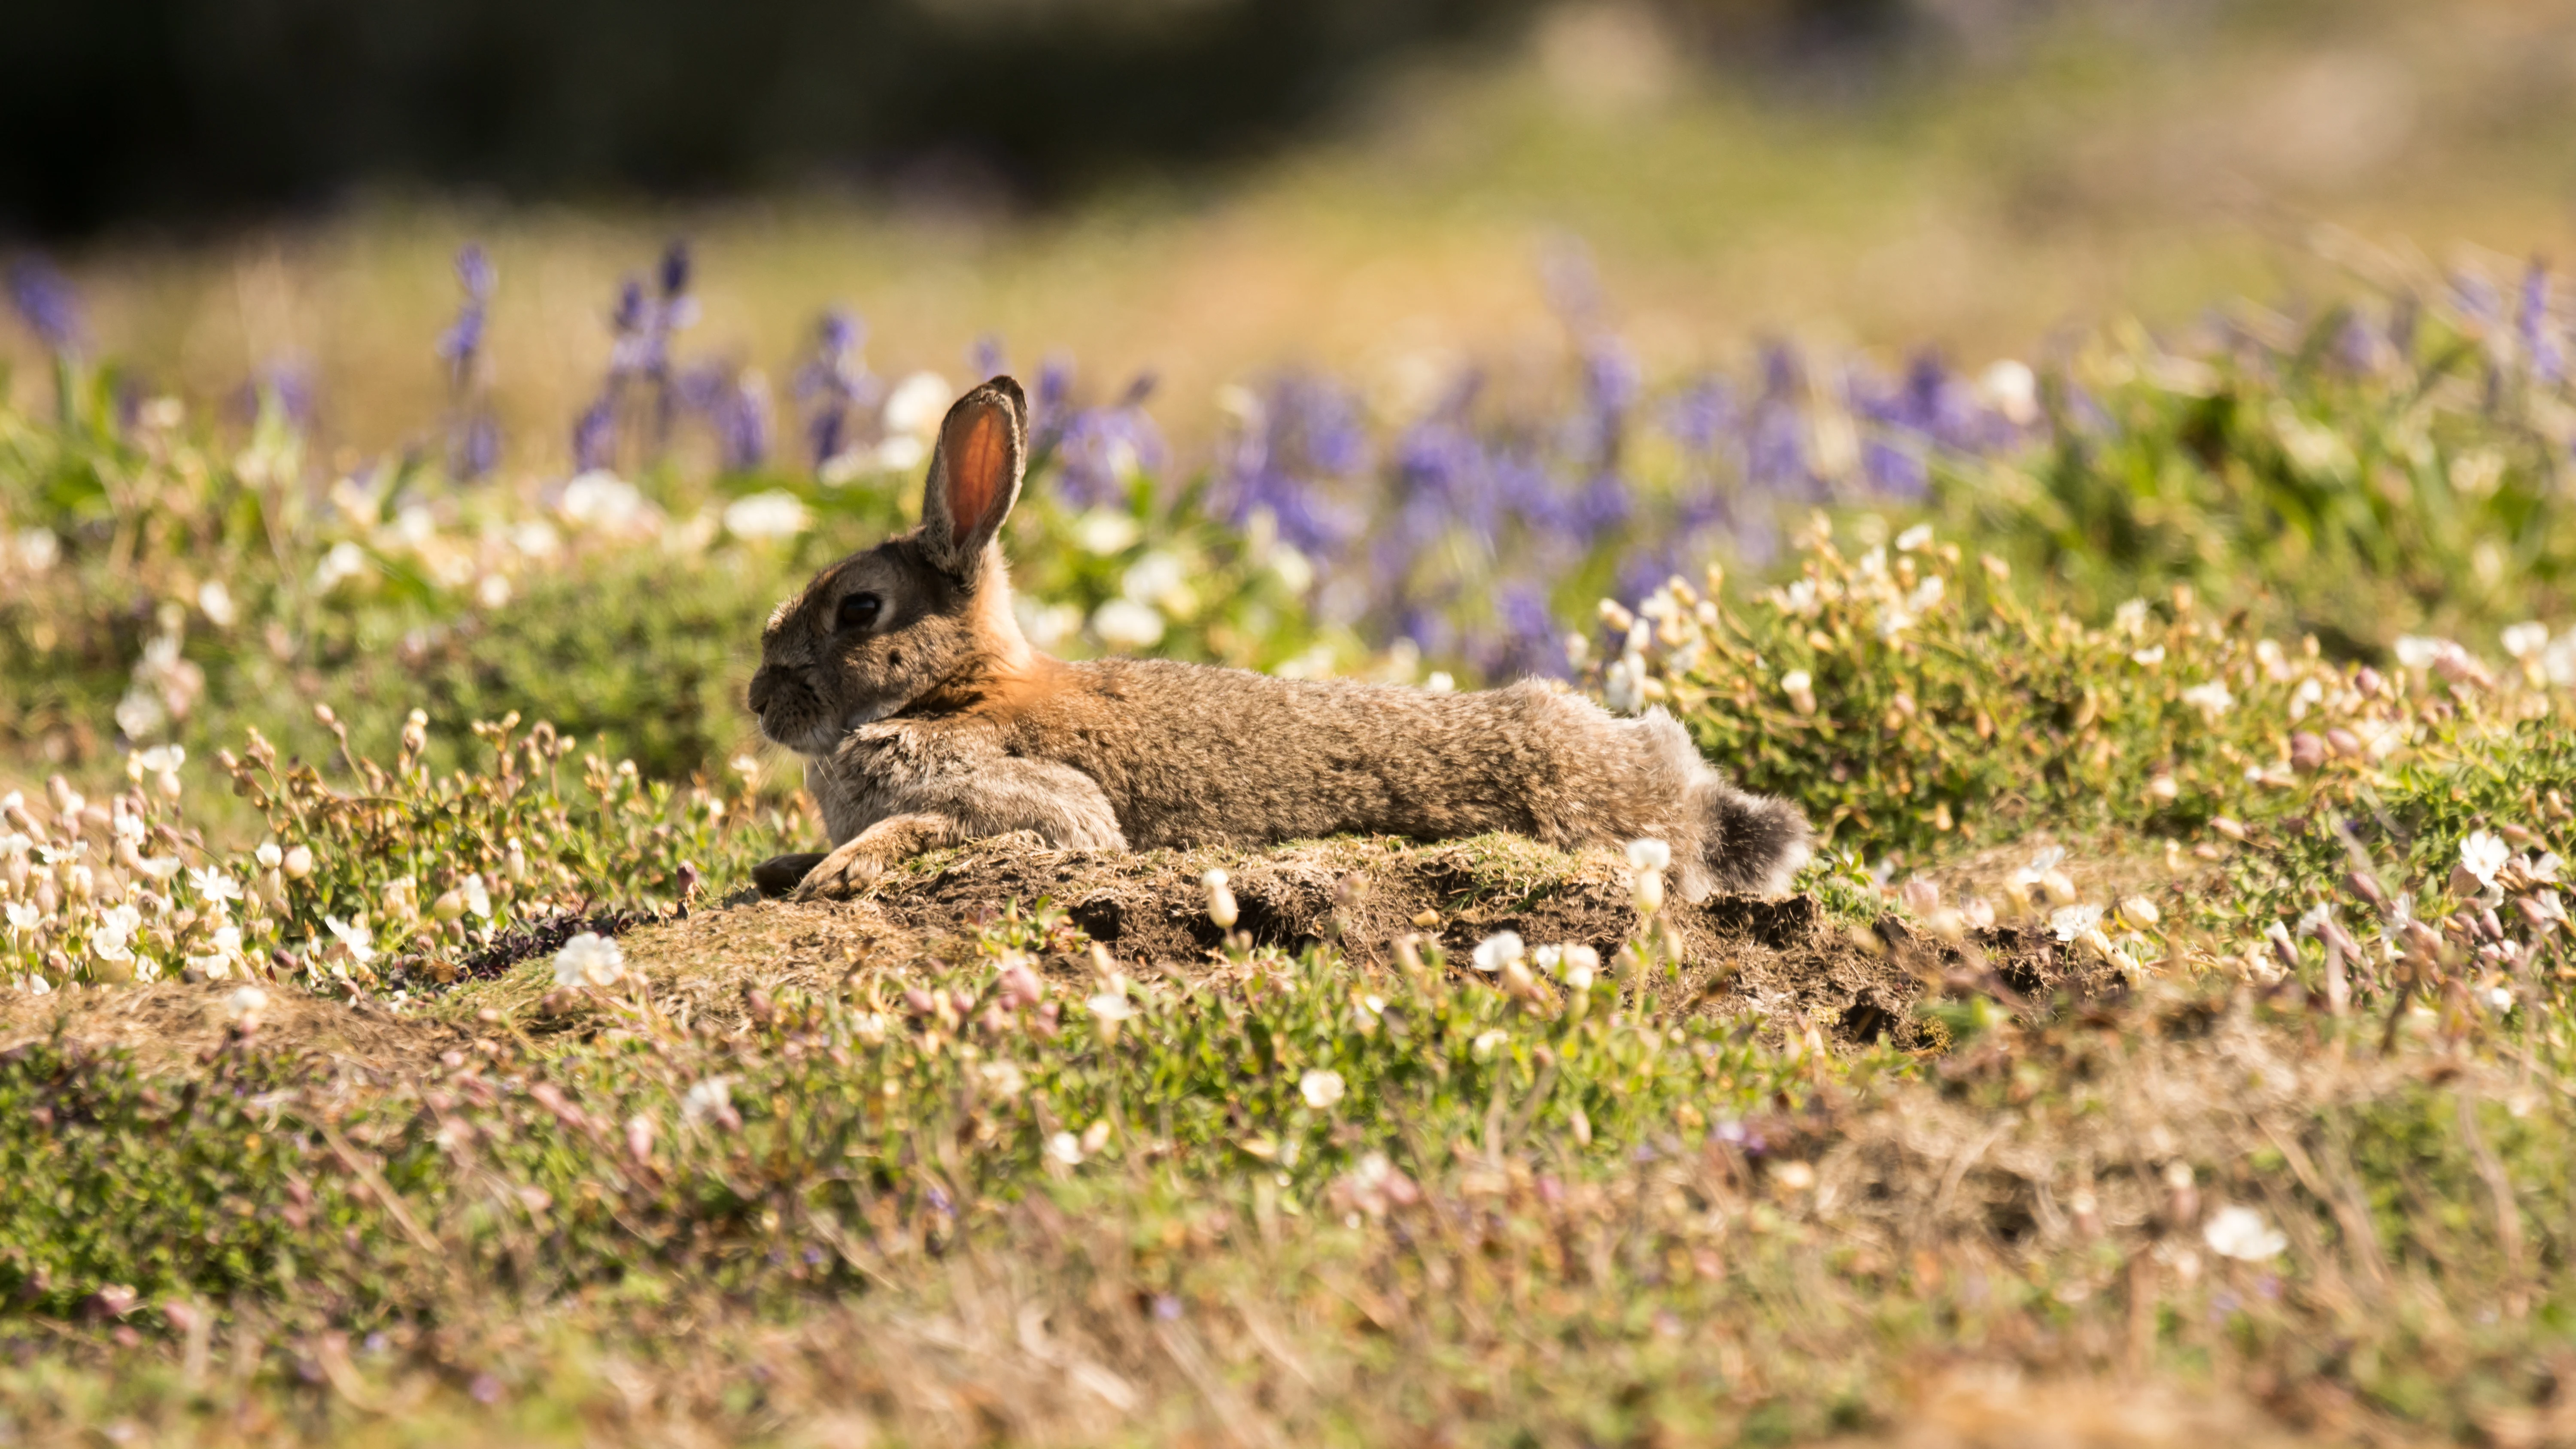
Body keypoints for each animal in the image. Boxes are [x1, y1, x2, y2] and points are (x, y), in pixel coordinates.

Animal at [745, 375, 1812, 905]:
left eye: (858, 609)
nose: (758, 701)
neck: (952, 689)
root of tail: (1683, 795)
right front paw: (786, 865)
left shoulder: (1044, 803)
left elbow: (954, 821)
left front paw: (840, 869)